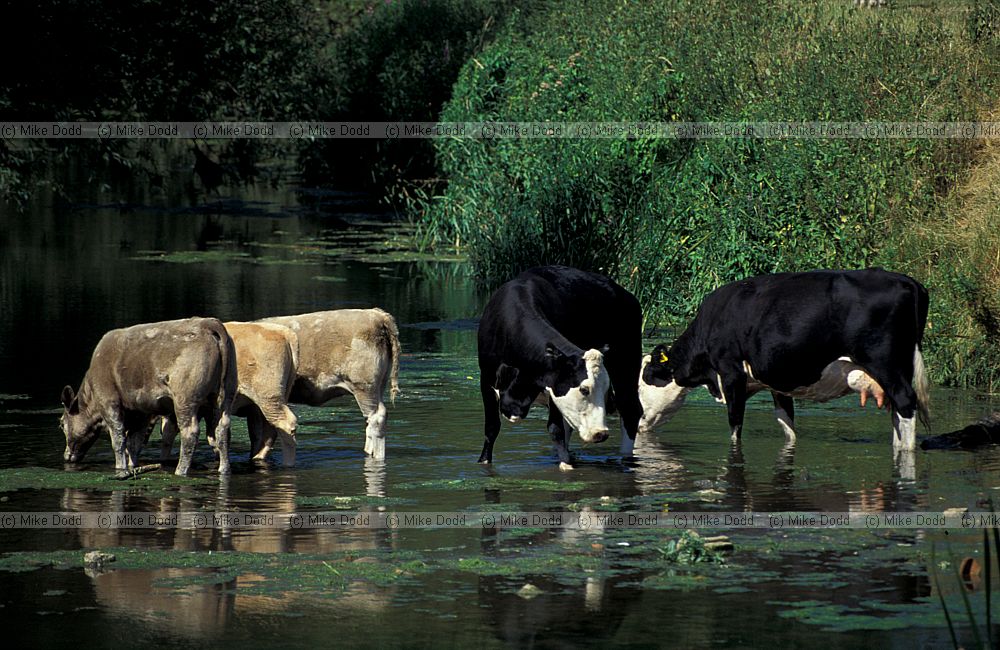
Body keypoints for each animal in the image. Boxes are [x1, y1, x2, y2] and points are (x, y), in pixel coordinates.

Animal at [60, 317, 237, 476]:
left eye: (61, 424)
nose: (66, 456)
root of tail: (209, 324)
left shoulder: (109, 402)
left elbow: (118, 439)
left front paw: (120, 467)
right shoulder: (141, 411)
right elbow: (134, 443)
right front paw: (132, 465)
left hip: (185, 400)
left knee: (189, 433)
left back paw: (180, 470)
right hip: (225, 396)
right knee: (222, 429)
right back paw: (224, 469)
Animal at [159, 321, 300, 466]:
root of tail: (284, 333)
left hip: (269, 398)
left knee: (286, 424)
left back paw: (287, 464)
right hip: (270, 401)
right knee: (270, 430)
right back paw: (257, 457)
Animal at [477, 266, 644, 469]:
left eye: (605, 389)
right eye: (584, 389)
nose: (601, 433)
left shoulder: (553, 388)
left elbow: (555, 429)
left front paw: (566, 466)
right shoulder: (486, 380)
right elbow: (491, 428)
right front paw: (483, 462)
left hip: (627, 363)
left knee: (630, 410)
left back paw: (626, 459)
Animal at [639, 269, 931, 451]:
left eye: (643, 381)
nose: (638, 423)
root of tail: (908, 282)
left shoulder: (731, 373)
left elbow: (735, 427)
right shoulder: (775, 384)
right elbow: (787, 425)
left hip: (887, 365)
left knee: (906, 404)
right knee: (897, 415)